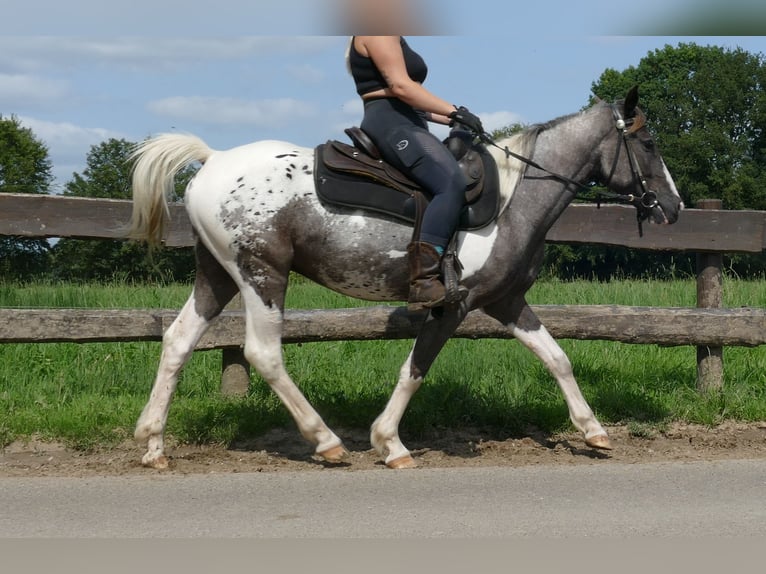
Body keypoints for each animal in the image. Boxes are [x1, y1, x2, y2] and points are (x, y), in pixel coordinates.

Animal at [129, 86, 688, 472]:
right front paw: (389, 443)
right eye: (648, 142)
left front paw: (593, 431)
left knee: (177, 341)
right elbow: (415, 369)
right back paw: (326, 441)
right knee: (263, 354)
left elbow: (558, 359)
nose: (674, 207)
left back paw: (153, 443)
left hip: (217, 276)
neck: (513, 198)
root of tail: (215, 159)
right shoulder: (453, 305)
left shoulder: (506, 302)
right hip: (263, 275)